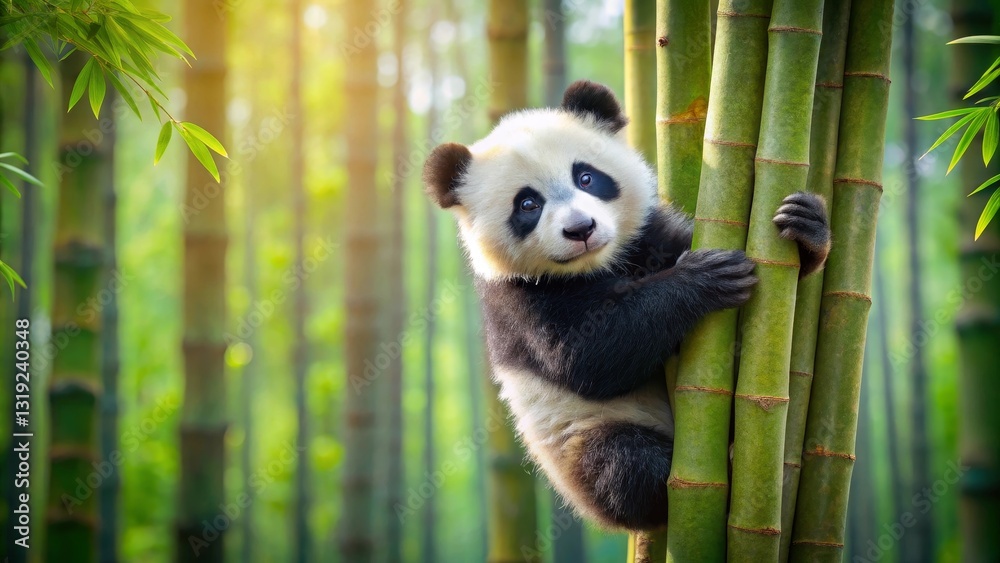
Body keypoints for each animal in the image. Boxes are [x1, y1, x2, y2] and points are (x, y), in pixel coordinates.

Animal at [422, 80, 831, 531]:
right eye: (528, 205)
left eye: (586, 177)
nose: (581, 229)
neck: (599, 264)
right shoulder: (519, 300)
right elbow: (589, 354)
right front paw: (703, 279)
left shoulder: (649, 236)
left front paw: (807, 229)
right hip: (579, 440)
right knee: (623, 465)